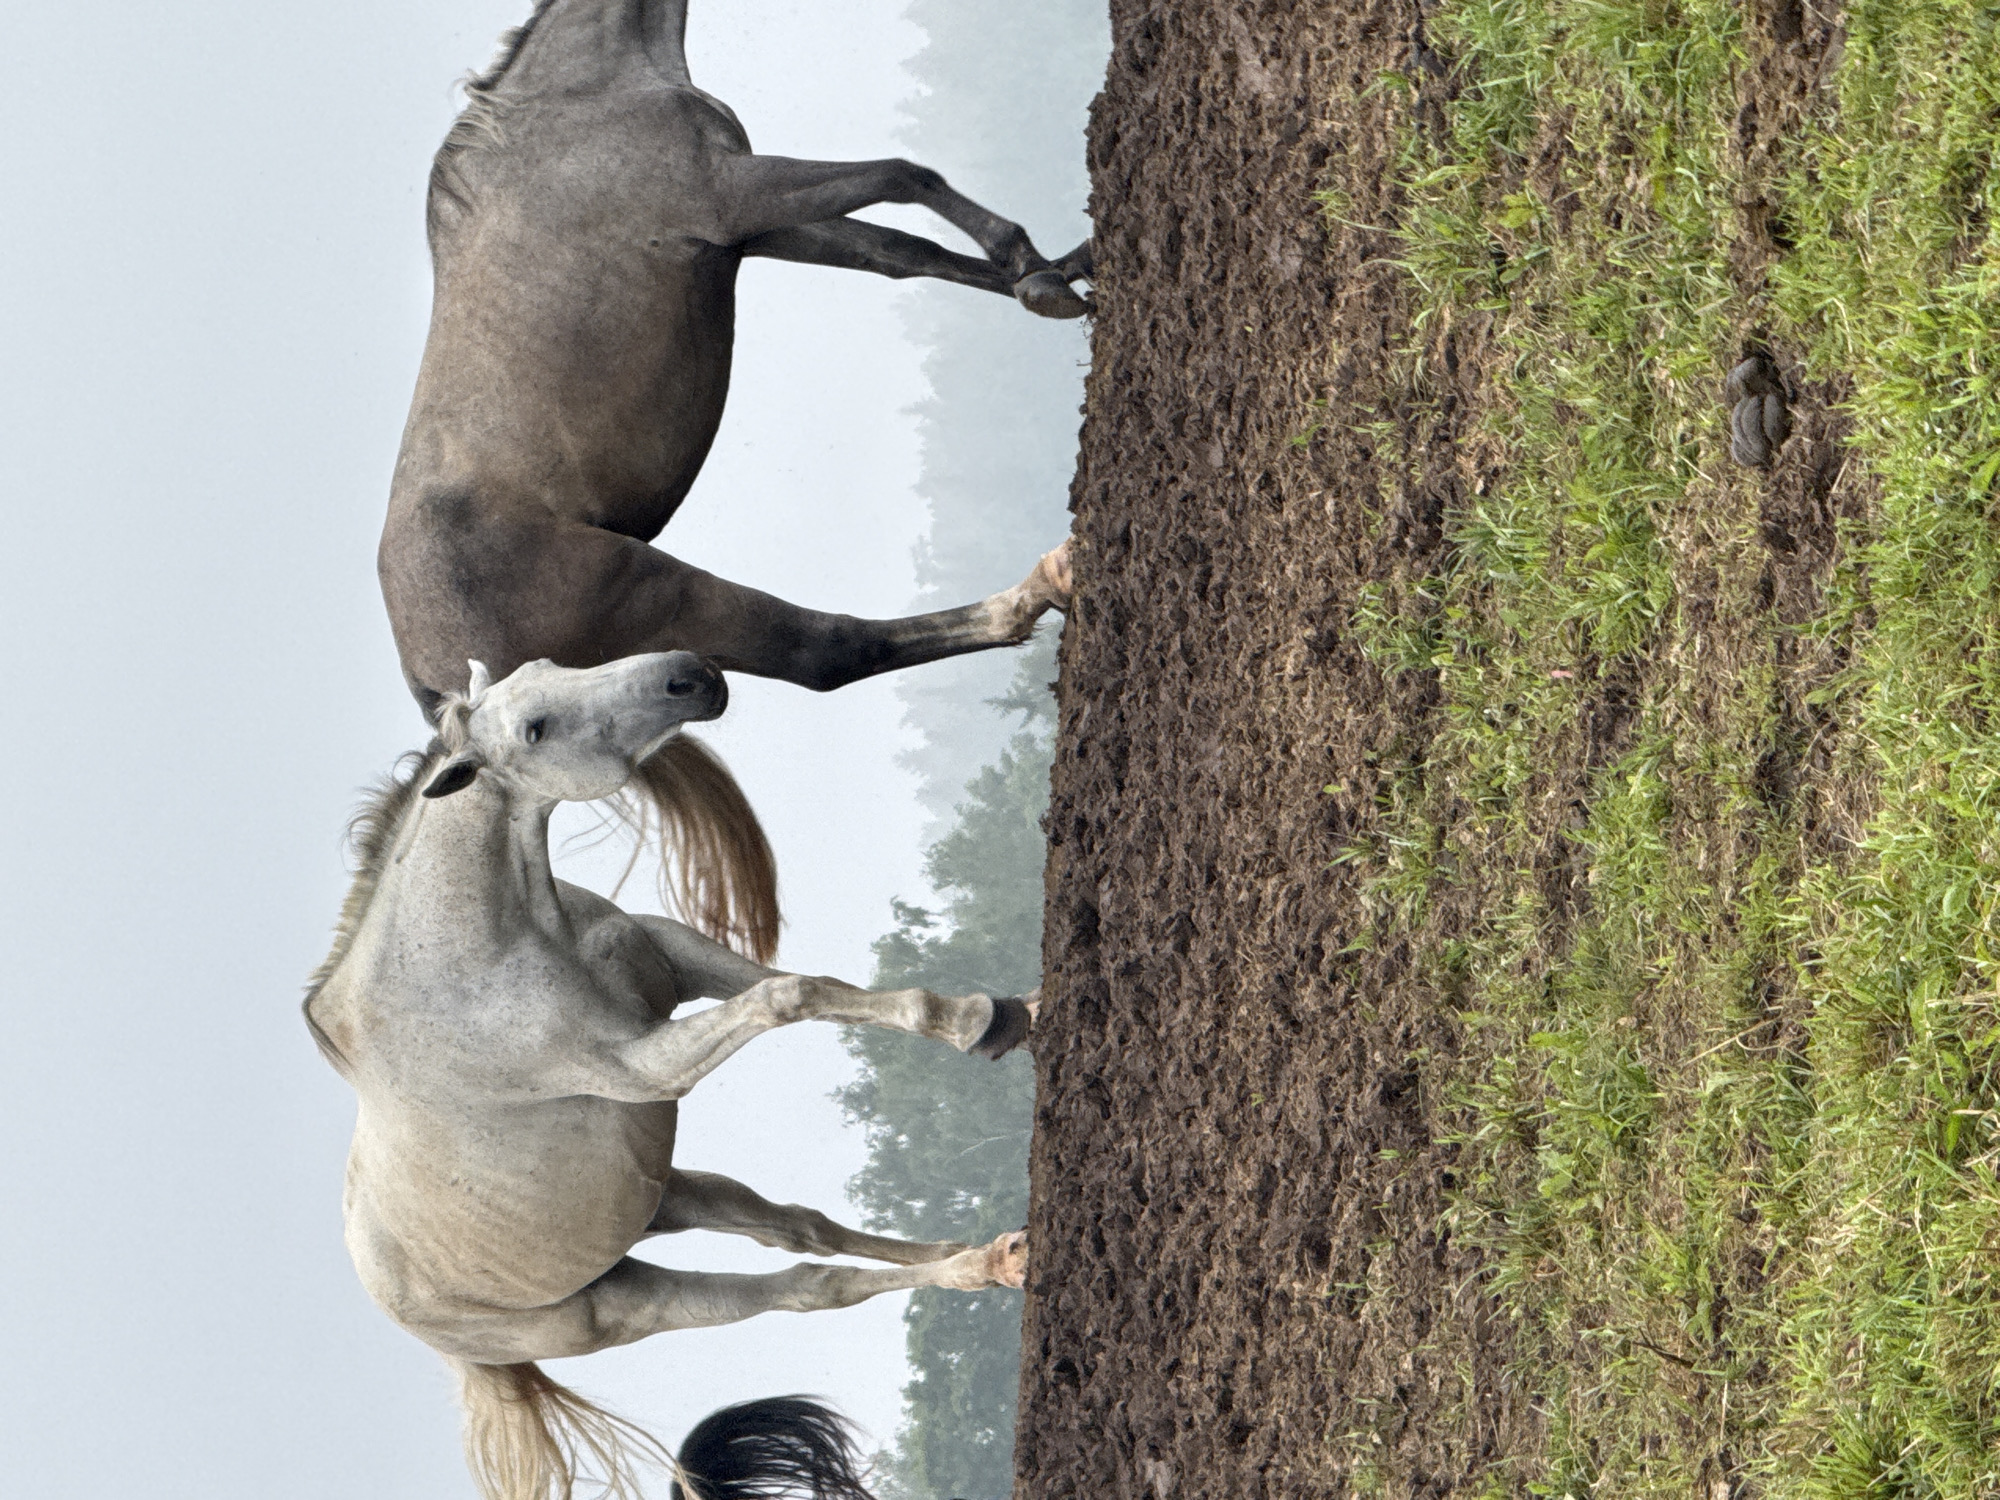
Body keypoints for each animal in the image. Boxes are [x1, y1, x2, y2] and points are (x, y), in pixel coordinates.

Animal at [305, 652, 1038, 1500]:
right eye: (535, 728)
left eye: (545, 668)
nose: (688, 676)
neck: (479, 957)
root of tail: (451, 1346)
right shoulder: (649, 1064)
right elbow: (790, 996)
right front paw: (982, 1019)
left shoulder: (681, 961)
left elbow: (819, 988)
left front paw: (1009, 1013)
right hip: (635, 1305)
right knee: (806, 1284)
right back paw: (982, 1263)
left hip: (665, 1198)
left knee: (799, 1227)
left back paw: (987, 1253)